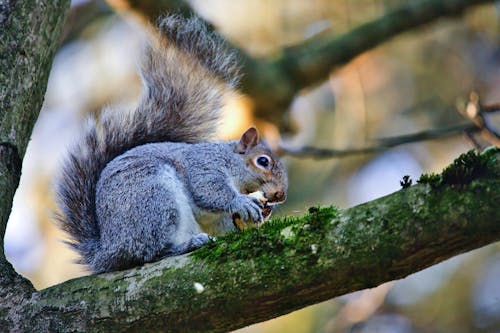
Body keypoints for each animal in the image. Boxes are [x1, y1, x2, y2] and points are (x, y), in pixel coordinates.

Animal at [55, 14, 288, 272]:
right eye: (263, 161)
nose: (281, 194)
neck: (228, 160)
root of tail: (109, 251)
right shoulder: (204, 166)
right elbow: (209, 190)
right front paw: (241, 202)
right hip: (155, 200)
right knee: (151, 253)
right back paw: (186, 245)